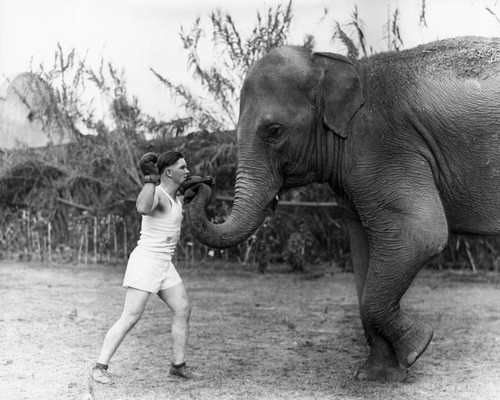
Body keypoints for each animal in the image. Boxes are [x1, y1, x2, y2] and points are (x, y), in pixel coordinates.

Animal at [186, 36, 500, 382]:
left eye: (275, 131)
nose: (198, 183)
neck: (344, 66)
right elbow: (363, 252)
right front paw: (375, 376)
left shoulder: (383, 146)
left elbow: (422, 233)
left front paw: (418, 346)